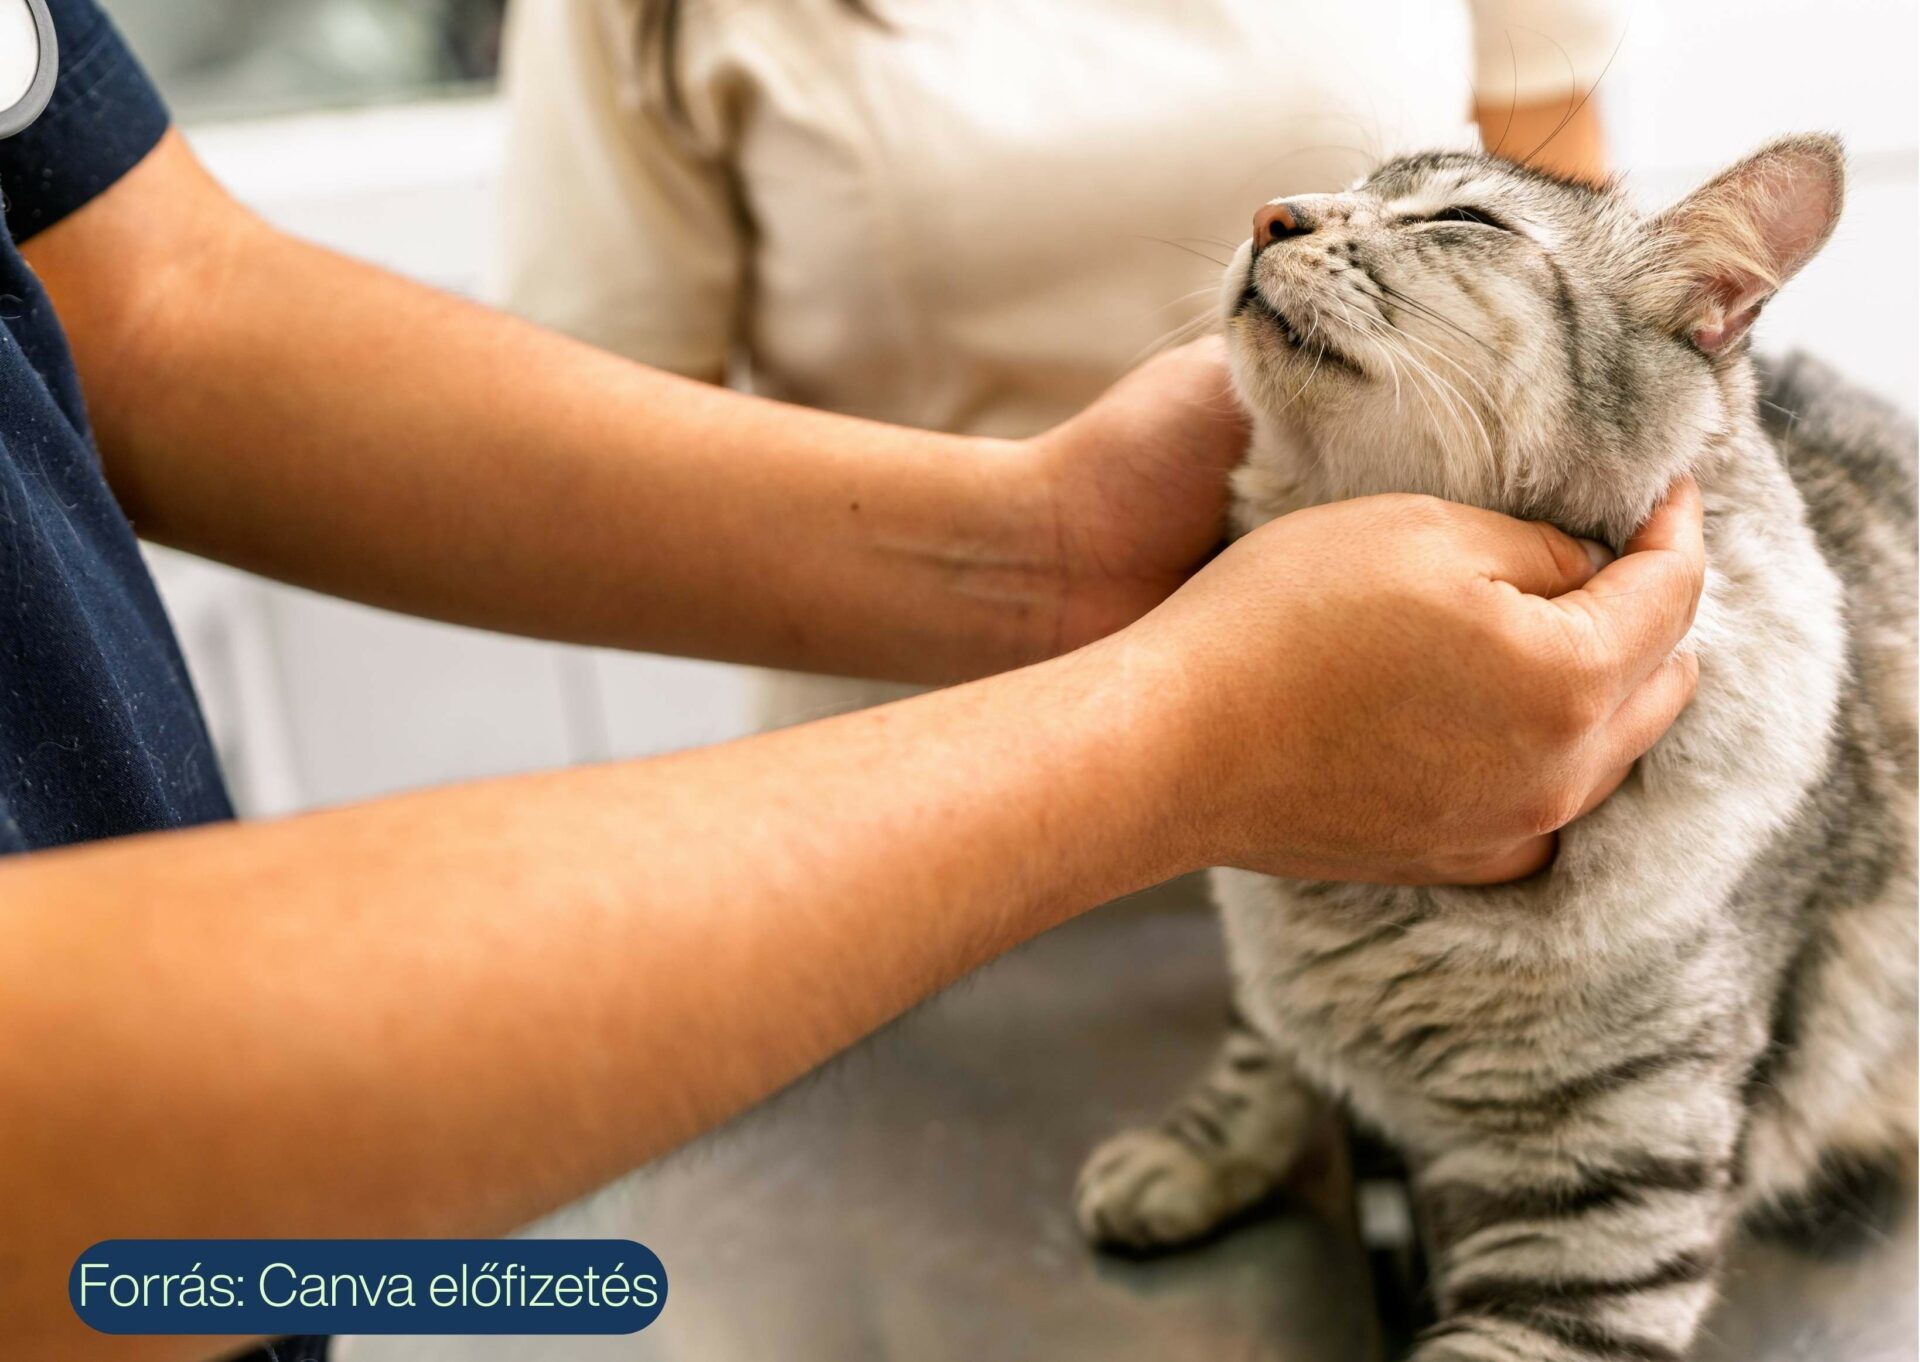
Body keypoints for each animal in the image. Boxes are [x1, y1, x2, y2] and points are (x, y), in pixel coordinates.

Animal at [1074, 135, 1917, 1362]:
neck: (1368, 904)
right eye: (1346, 189)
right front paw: (1186, 1159)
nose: (1271, 215)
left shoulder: (1600, 1213)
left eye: (1462, 220)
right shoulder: (1272, 966)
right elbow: (1260, 1053)